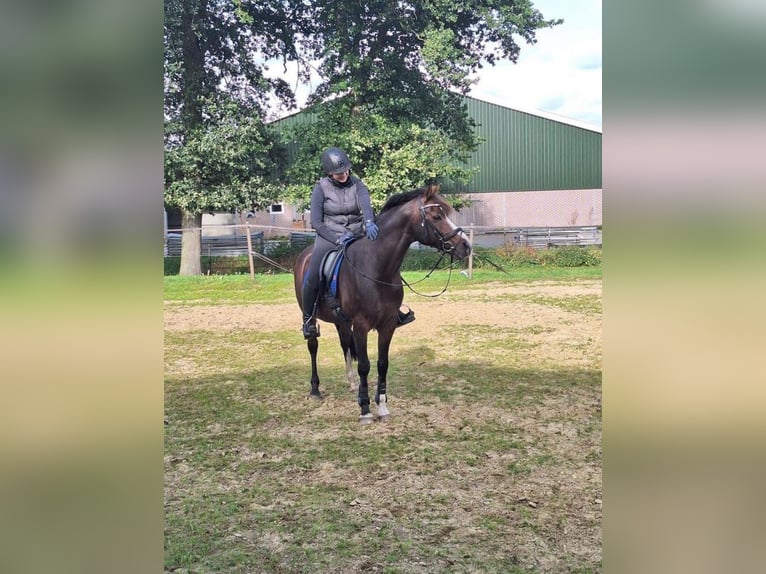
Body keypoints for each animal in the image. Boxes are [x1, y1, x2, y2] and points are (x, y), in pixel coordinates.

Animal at [296, 184, 472, 424]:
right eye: (437, 216)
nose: (466, 246)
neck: (376, 267)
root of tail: (304, 256)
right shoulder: (361, 325)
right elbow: (364, 365)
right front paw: (365, 410)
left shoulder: (387, 325)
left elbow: (382, 364)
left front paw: (382, 407)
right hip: (311, 317)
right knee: (313, 345)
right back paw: (315, 389)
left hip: (341, 321)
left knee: (345, 344)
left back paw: (351, 383)